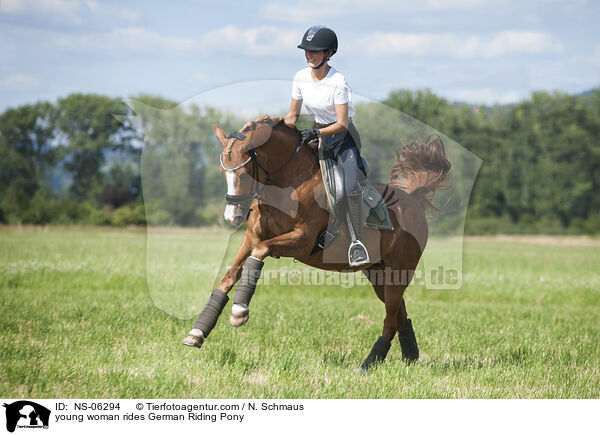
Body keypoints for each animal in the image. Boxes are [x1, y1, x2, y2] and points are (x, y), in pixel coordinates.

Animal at [183, 115, 450, 372]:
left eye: (244, 172)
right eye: (222, 172)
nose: (232, 216)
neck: (288, 182)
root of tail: (412, 200)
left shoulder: (301, 240)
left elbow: (259, 253)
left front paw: (239, 312)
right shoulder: (252, 237)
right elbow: (229, 276)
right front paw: (197, 332)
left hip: (398, 272)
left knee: (390, 319)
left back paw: (368, 364)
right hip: (378, 275)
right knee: (398, 315)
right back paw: (410, 358)